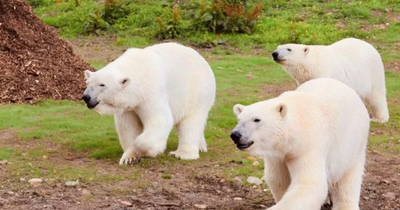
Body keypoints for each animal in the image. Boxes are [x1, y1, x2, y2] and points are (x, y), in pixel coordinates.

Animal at [82, 42, 216, 164]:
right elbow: (128, 127)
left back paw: (182, 153)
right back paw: (201, 146)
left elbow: (159, 120)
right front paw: (130, 158)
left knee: (191, 121)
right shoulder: (129, 106)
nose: (86, 97)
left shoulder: (151, 91)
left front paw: (149, 150)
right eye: (87, 83)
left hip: (196, 91)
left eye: (102, 84)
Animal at [230, 78, 370, 209]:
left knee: (348, 179)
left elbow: (308, 184)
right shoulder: (278, 154)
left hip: (353, 145)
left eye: (256, 119)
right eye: (239, 119)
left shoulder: (309, 146)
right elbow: (277, 179)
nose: (235, 135)